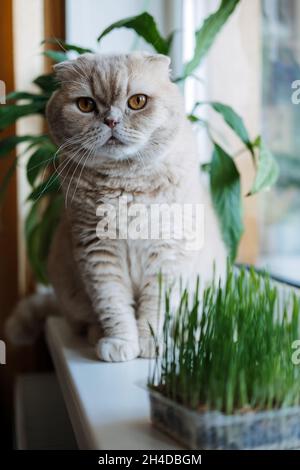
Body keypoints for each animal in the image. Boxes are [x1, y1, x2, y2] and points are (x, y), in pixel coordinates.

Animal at [5, 51, 225, 362]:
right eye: (86, 105)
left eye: (137, 101)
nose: (111, 120)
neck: (125, 183)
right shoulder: (97, 252)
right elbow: (113, 304)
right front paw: (121, 342)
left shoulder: (167, 253)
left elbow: (155, 308)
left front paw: (151, 343)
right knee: (84, 322)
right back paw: (97, 334)